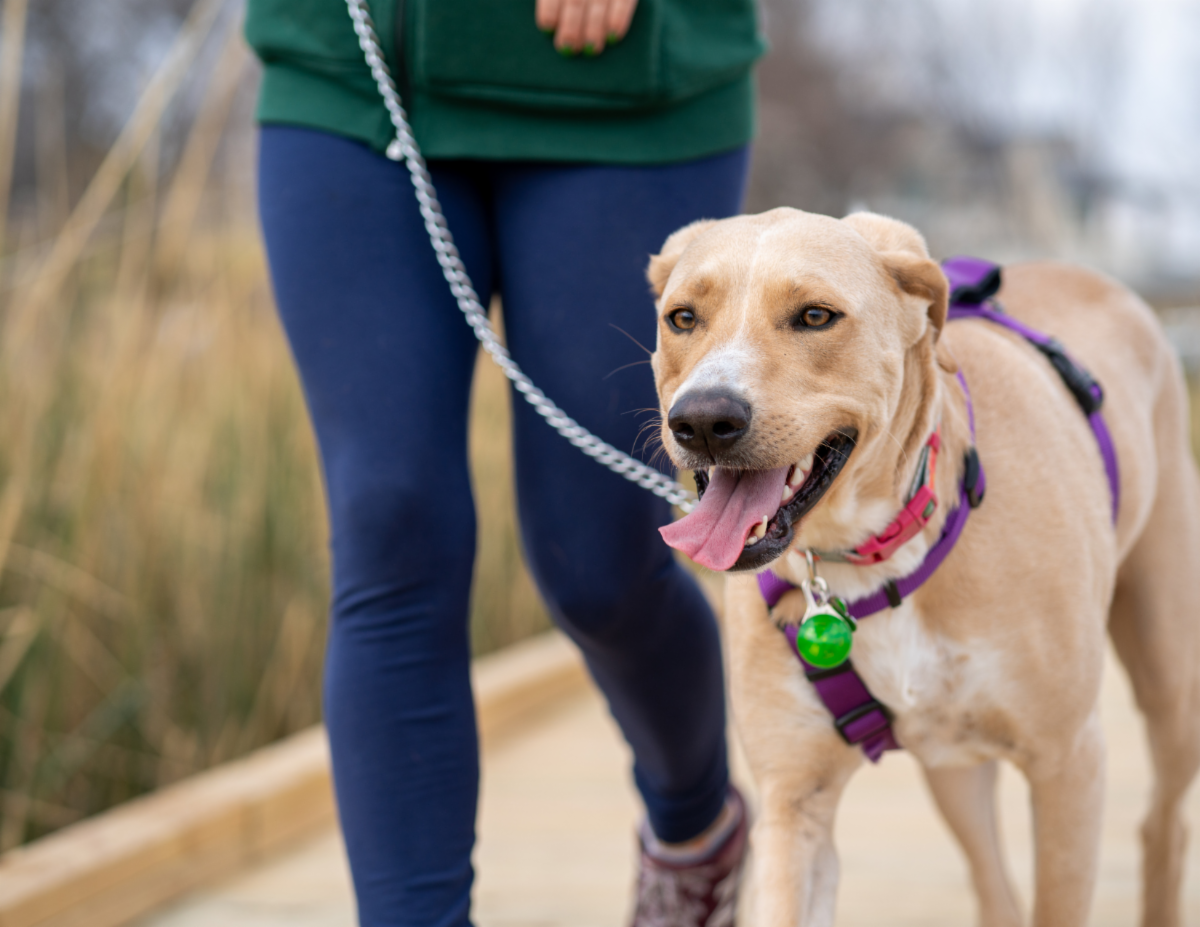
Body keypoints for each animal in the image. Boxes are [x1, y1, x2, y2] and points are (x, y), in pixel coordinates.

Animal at [648, 208, 1200, 927]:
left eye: (816, 316)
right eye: (682, 318)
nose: (703, 419)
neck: (865, 558)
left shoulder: (1069, 763)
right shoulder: (796, 801)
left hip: (1170, 682)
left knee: (1163, 821)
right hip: (952, 767)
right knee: (993, 883)